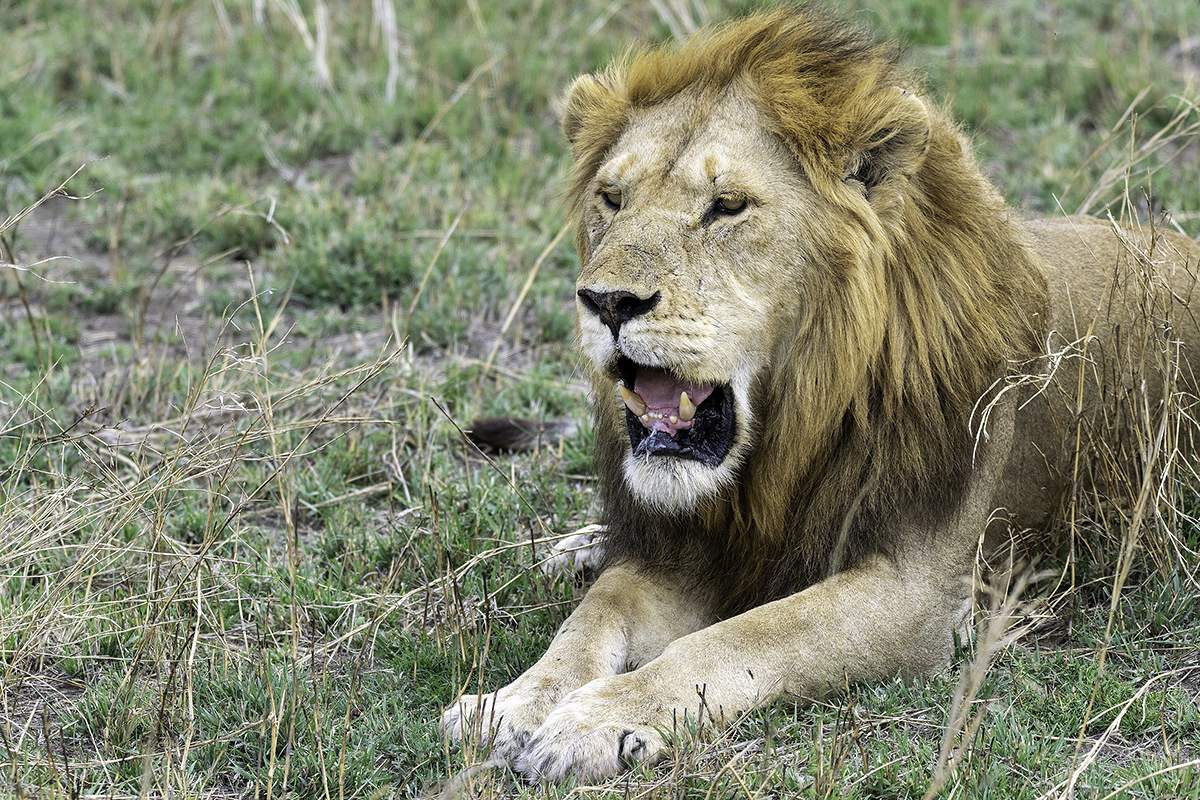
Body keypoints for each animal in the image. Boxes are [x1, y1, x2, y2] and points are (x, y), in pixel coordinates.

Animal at [442, 4, 1200, 782]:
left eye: (727, 207)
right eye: (611, 199)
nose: (606, 302)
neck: (788, 436)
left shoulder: (916, 593)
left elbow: (744, 637)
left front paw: (599, 718)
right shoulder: (684, 547)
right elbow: (593, 616)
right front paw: (511, 704)